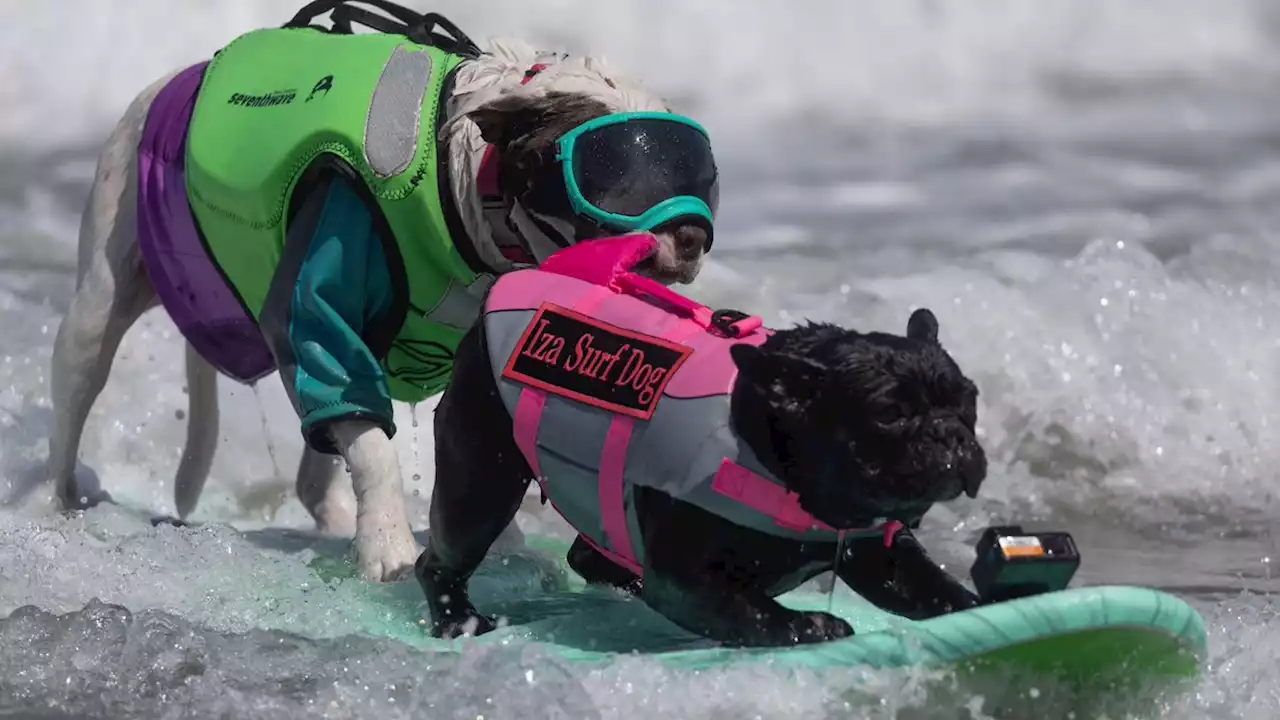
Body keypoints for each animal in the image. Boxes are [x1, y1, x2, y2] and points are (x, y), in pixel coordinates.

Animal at [45, 2, 716, 579]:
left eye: (697, 172)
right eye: (612, 173)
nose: (691, 233)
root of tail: (175, 82)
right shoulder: (322, 307)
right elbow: (372, 446)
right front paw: (388, 543)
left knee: (317, 459)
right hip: (98, 302)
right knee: (76, 403)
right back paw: (61, 510)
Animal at [414, 302, 983, 645]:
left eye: (969, 400)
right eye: (889, 414)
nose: (950, 433)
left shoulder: (874, 551)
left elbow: (927, 585)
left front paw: (979, 605)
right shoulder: (684, 579)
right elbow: (752, 611)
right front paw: (811, 625)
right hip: (483, 478)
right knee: (447, 554)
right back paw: (459, 621)